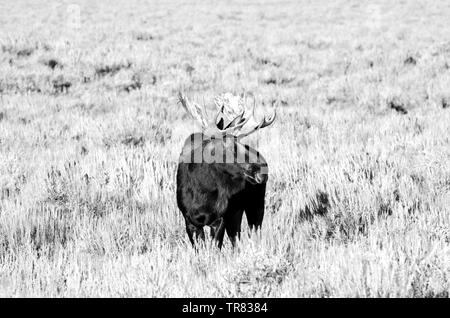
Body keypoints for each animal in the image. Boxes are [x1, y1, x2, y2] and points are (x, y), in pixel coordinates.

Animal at [175, 92, 274, 248]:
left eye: (239, 143)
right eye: (225, 147)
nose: (260, 171)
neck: (202, 192)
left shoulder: (220, 218)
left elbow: (215, 247)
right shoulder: (190, 220)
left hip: (255, 204)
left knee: (253, 233)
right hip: (237, 212)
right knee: (236, 238)